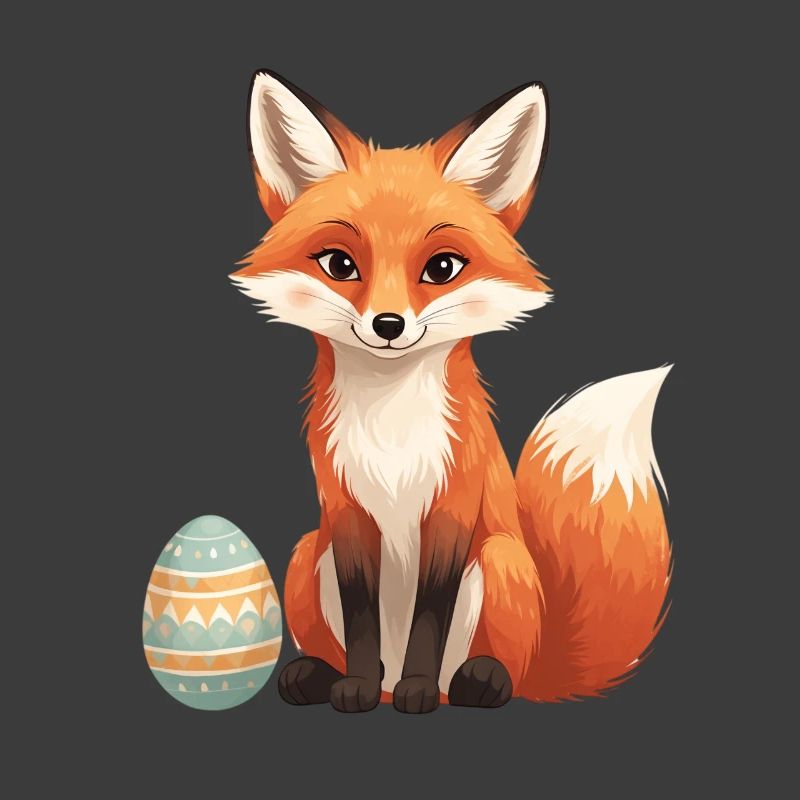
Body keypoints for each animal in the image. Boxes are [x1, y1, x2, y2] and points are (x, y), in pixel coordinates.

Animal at [232, 71, 673, 713]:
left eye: (442, 268)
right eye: (339, 264)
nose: (388, 325)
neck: (390, 426)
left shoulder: (453, 507)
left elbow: (429, 617)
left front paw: (416, 686)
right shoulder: (344, 511)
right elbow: (362, 620)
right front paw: (352, 688)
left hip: (500, 561)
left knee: (486, 669)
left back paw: (470, 683)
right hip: (305, 553)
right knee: (350, 649)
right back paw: (328, 677)